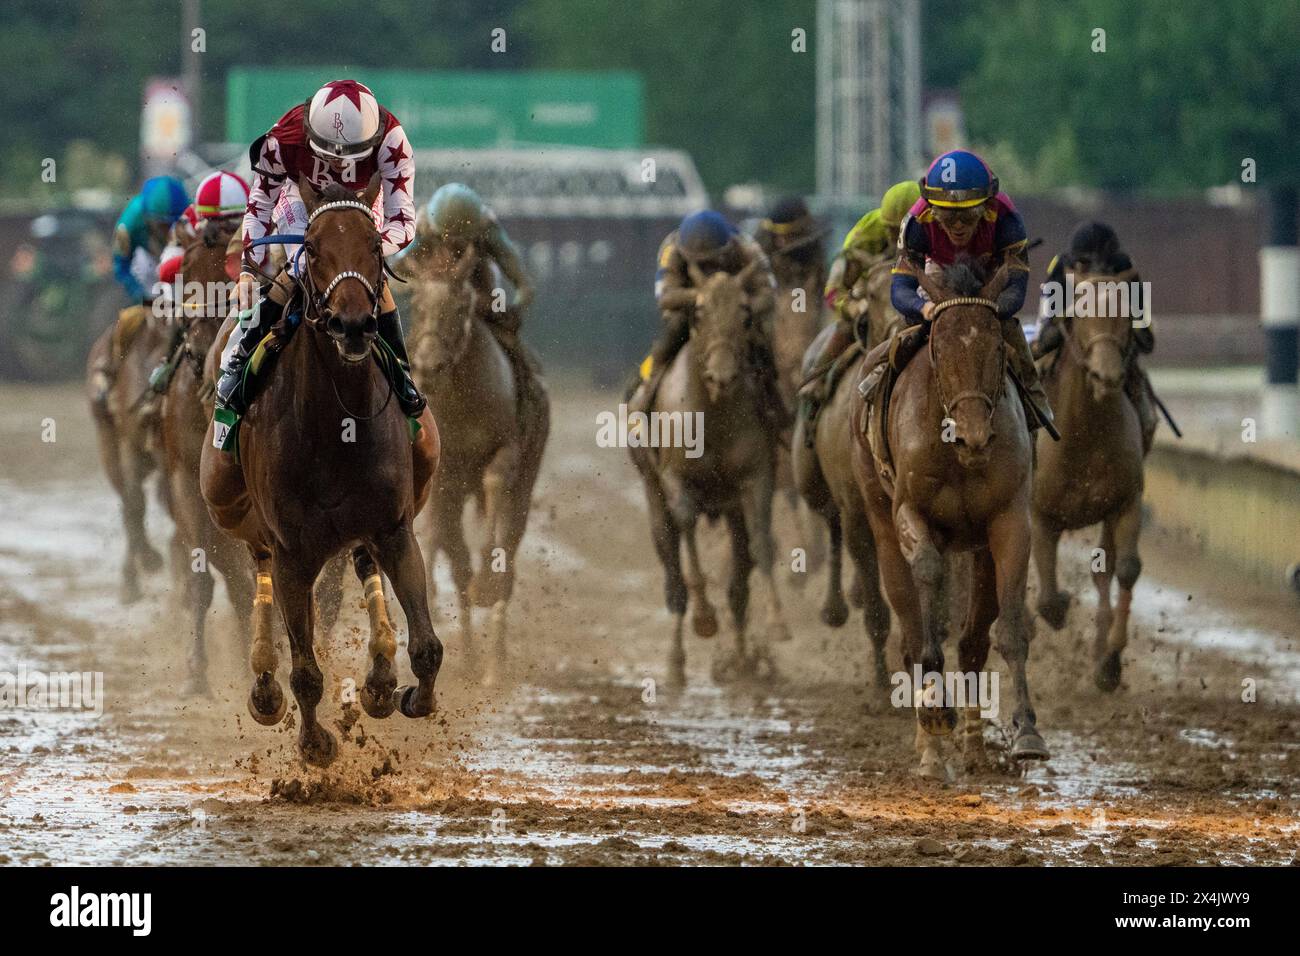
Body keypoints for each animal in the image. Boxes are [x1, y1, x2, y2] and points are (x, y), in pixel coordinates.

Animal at [198, 175, 441, 764]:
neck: (338, 426)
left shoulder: (394, 527)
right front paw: (315, 744)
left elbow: (427, 645)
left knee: (363, 564)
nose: (352, 324)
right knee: (258, 566)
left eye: (375, 247)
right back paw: (265, 686)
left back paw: (378, 679)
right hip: (230, 504)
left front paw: (407, 695)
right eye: (311, 248)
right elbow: (305, 670)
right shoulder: (293, 550)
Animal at [852, 261, 1045, 780]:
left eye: (997, 346)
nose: (974, 435)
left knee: (973, 641)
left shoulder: (1009, 520)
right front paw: (936, 712)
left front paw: (1026, 732)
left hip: (978, 550)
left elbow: (1009, 628)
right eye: (938, 347)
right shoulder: (909, 512)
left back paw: (974, 750)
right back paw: (931, 748)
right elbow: (926, 600)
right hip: (878, 522)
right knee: (909, 625)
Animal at [1029, 265, 1144, 691]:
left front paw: (1109, 662)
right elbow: (1047, 598)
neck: (1084, 435)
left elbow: (1125, 569)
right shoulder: (1040, 515)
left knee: (1105, 572)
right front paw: (1059, 607)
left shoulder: (1126, 503)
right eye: (1079, 316)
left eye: (1126, 315)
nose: (1106, 376)